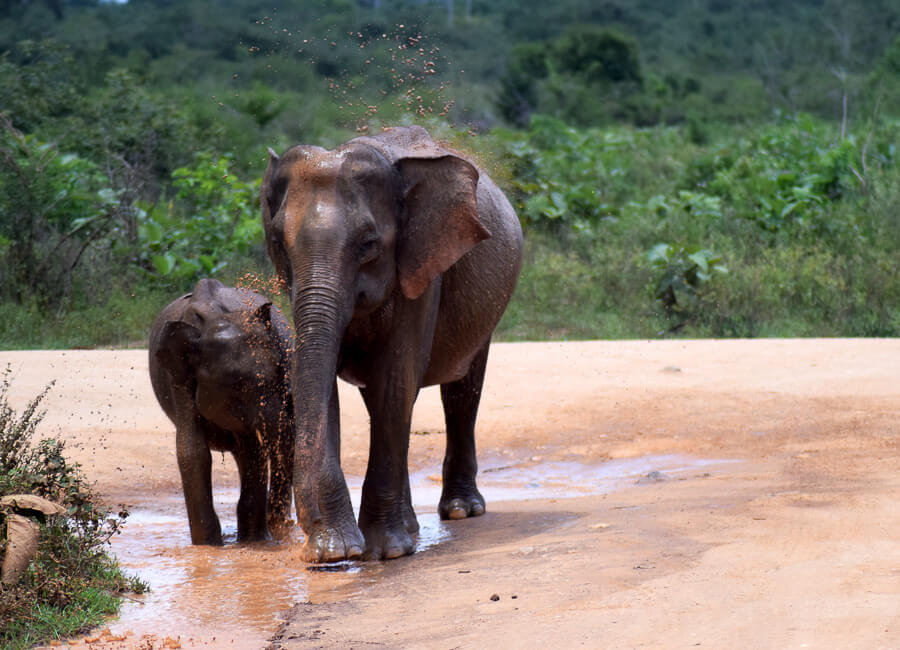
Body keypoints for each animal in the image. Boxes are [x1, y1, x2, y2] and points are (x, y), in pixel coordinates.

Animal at [149, 278, 295, 545]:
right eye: (238, 384)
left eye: (282, 378)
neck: (215, 317)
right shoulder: (179, 380)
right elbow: (192, 451)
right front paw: (208, 545)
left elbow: (253, 452)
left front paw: (254, 541)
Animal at [261, 125, 523, 561]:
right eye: (280, 242)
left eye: (368, 243)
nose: (311, 535)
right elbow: (322, 385)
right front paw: (335, 550)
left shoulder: (422, 268)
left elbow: (395, 382)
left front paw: (385, 553)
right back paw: (412, 526)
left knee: (460, 391)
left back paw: (460, 511)